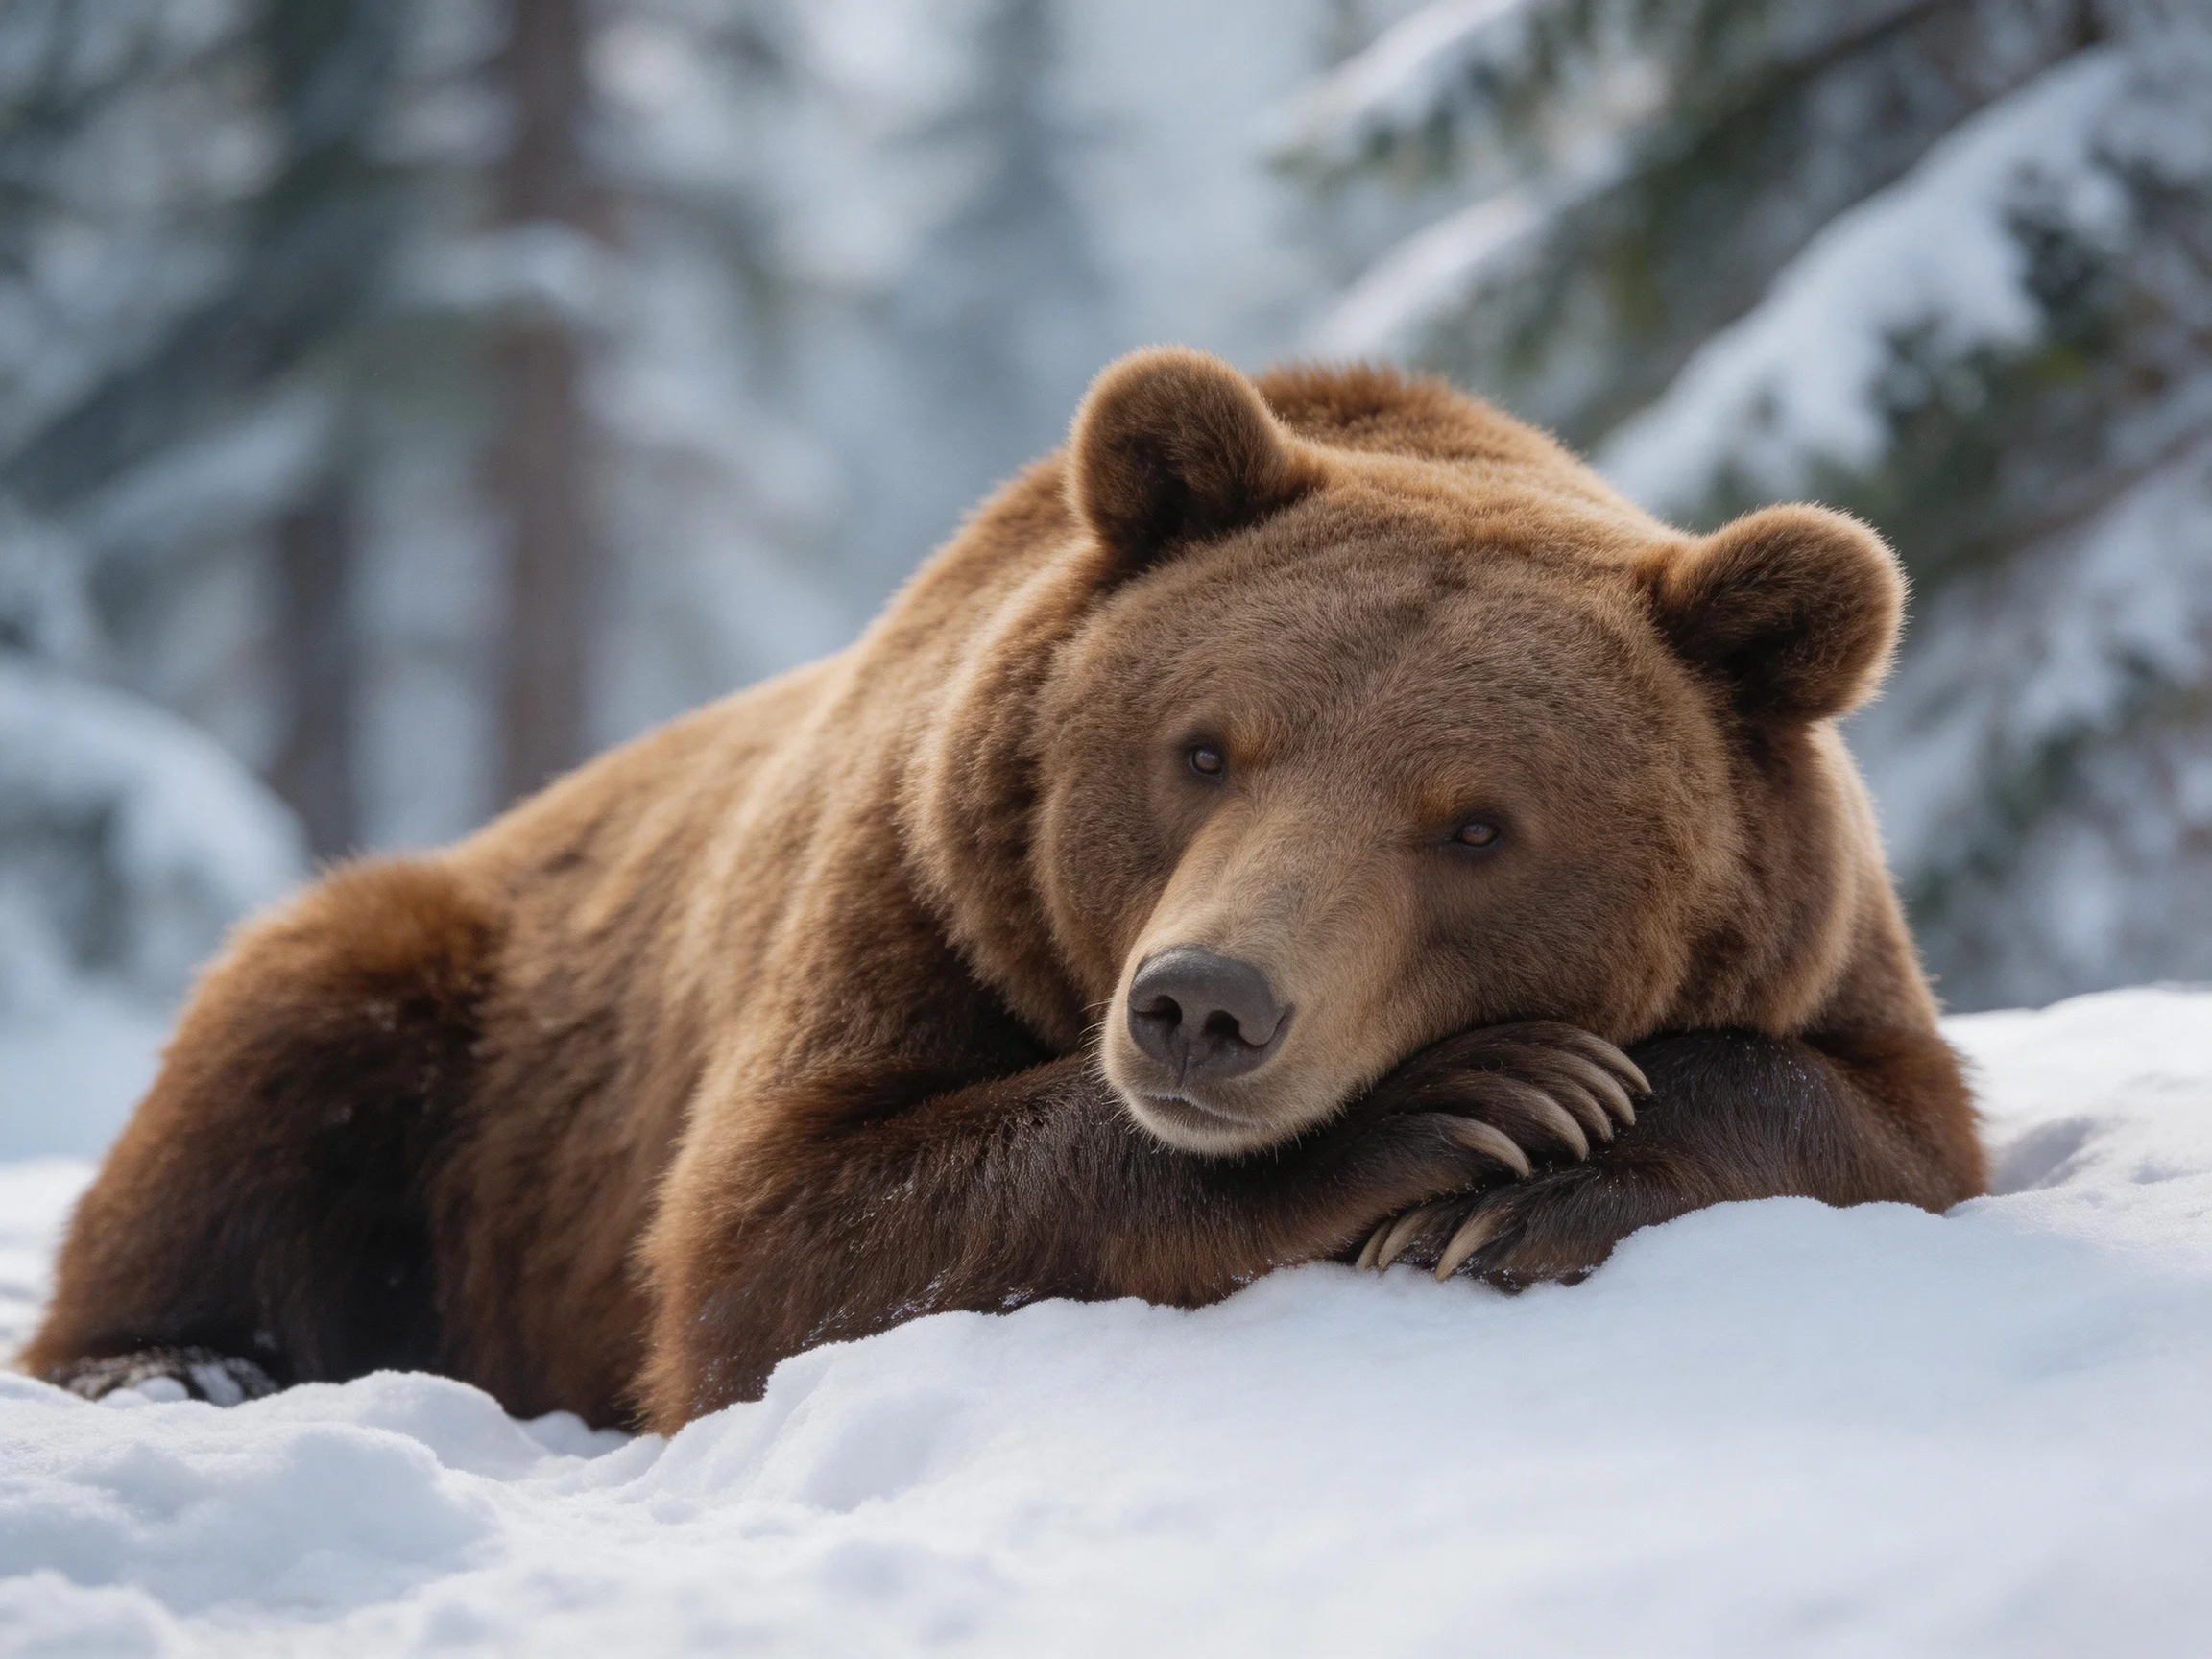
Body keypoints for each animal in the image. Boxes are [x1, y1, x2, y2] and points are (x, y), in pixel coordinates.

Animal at [20, 348, 1984, 1432]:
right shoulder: (909, 898)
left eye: (1476, 824)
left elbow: (1874, 1120)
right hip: (470, 1035)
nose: (1203, 1005)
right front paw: (1472, 1109)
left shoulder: (1828, 954)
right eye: (1208, 745)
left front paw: (1529, 1184)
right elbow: (773, 1239)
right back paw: (175, 1364)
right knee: (286, 1036)